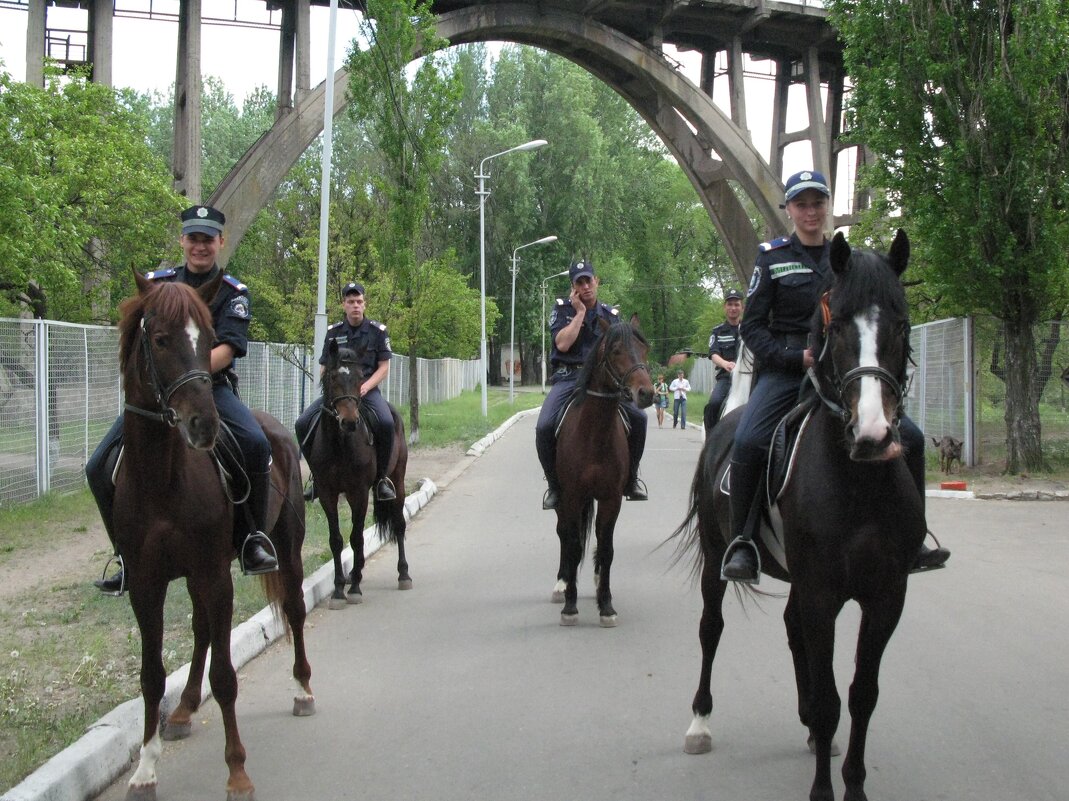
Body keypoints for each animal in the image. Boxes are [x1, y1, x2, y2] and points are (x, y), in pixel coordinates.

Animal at [115, 273, 312, 799]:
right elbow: (151, 676)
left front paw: (237, 772)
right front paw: (145, 770)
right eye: (161, 340)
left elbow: (225, 677)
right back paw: (184, 710)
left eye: (207, 340)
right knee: (202, 628)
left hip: (285, 548)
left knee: (295, 609)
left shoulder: (214, 576)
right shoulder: (146, 584)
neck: (162, 479)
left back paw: (303, 689)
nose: (204, 424)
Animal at [305, 337, 412, 607]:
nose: (350, 422)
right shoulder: (327, 493)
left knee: (399, 524)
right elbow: (336, 540)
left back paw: (403, 574)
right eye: (333, 377)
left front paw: (353, 589)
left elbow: (356, 538)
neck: (339, 444)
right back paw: (356, 572)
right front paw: (338, 589)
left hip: (397, 480)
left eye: (360, 377)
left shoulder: (359, 493)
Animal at [555, 316, 654, 624]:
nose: (647, 393)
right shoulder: (572, 497)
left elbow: (607, 548)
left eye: (644, 349)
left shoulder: (611, 499)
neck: (595, 434)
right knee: (563, 535)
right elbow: (573, 545)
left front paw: (606, 605)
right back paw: (562, 583)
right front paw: (570, 605)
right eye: (616, 351)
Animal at [671, 230, 923, 799]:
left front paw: (854, 784)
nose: (872, 435)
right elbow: (833, 700)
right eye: (838, 323)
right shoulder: (822, 593)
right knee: (710, 628)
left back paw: (807, 726)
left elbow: (862, 695)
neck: (858, 483)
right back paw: (698, 723)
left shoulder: (886, 597)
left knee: (790, 630)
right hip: (721, 558)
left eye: (901, 323)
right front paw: (823, 789)